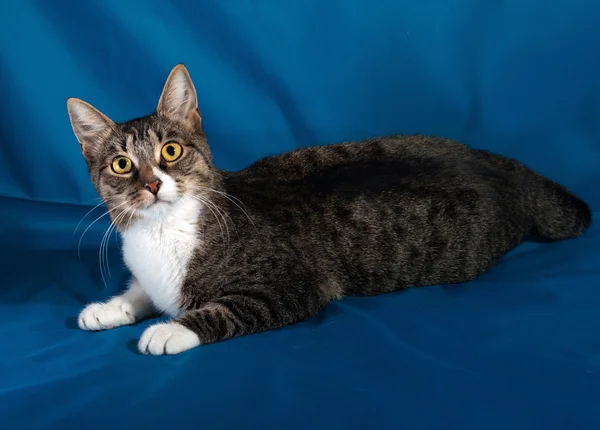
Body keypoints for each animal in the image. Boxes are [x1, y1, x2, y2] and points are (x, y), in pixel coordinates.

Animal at [65, 63, 592, 356]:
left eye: (170, 152)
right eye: (121, 164)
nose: (153, 183)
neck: (162, 233)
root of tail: (496, 166)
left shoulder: (288, 287)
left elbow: (220, 310)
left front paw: (169, 330)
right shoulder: (149, 273)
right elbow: (142, 291)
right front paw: (110, 307)